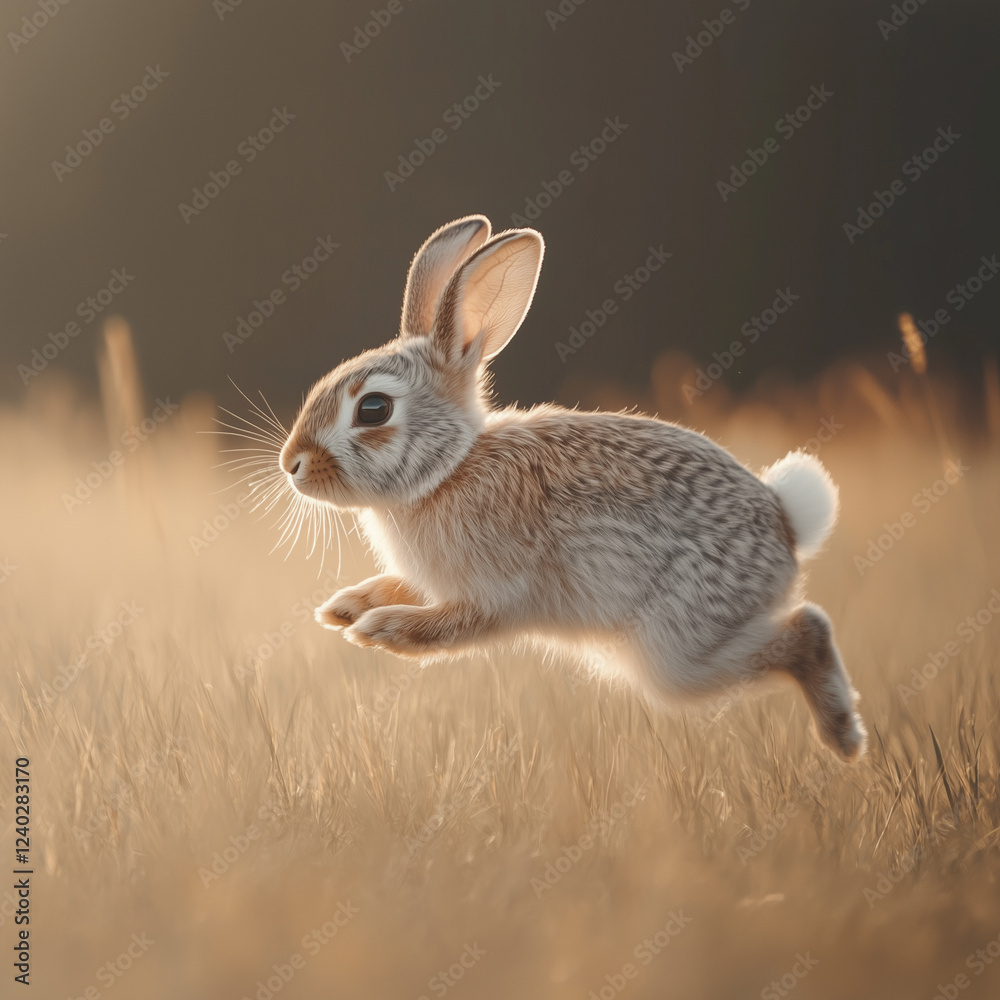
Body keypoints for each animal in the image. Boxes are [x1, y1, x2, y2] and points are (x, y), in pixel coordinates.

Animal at [278, 214, 867, 761]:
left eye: (373, 408)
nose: (292, 463)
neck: (448, 470)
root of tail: (787, 523)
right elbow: (400, 586)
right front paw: (348, 607)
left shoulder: (498, 593)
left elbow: (453, 625)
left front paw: (382, 629)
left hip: (680, 651)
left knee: (808, 629)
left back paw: (844, 738)